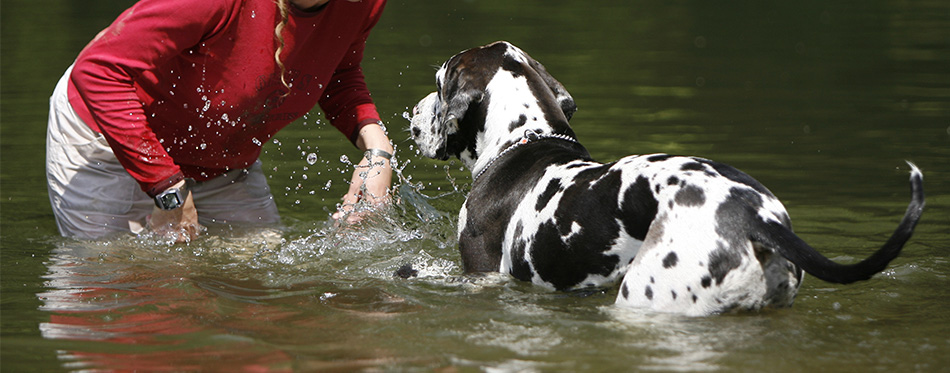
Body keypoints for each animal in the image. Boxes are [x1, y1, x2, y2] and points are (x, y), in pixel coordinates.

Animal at [410, 40, 928, 314]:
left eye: (438, 82)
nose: (413, 117)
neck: (525, 139)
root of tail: (755, 216)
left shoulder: (480, 274)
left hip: (644, 297)